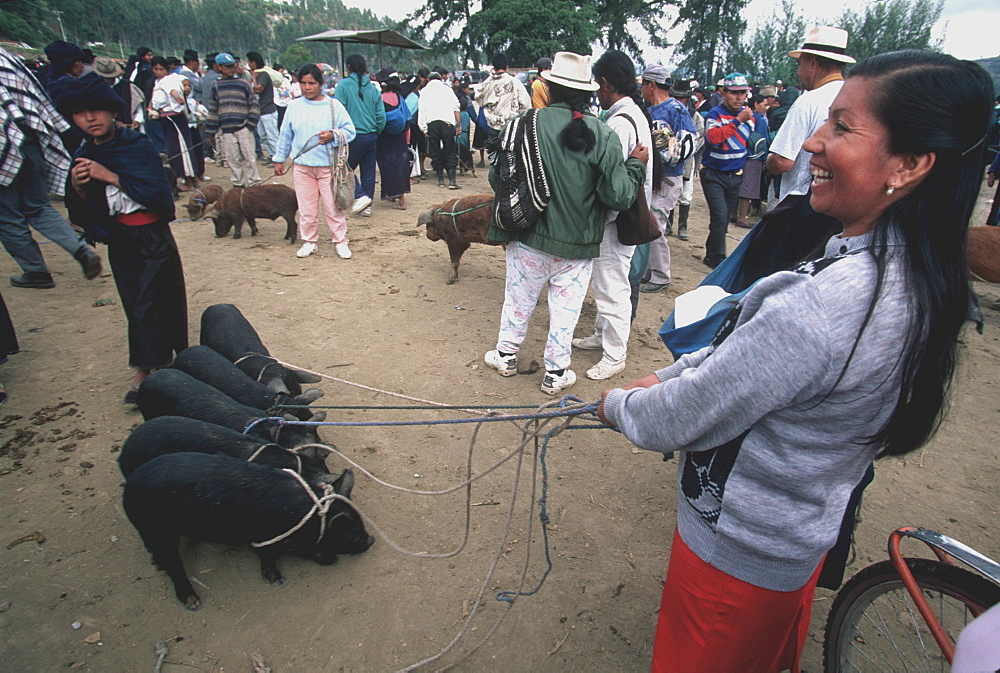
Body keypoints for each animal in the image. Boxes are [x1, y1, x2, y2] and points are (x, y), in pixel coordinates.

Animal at [123, 454, 374, 608]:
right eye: (351, 531)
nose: (371, 540)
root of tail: (129, 487)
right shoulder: (268, 537)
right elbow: (268, 554)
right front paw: (277, 580)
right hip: (156, 529)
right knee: (173, 563)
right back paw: (193, 603)